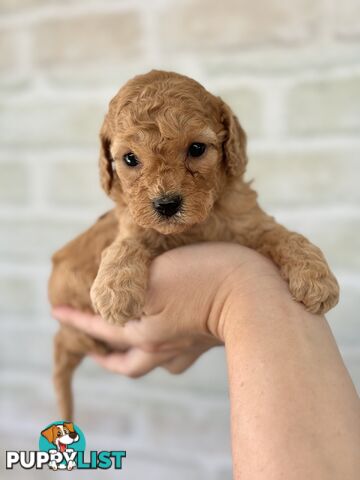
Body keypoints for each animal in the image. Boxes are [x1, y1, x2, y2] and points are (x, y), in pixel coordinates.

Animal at [48, 68, 340, 420]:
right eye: (130, 158)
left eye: (197, 148)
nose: (166, 205)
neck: (195, 226)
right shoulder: (133, 223)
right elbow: (125, 245)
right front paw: (114, 292)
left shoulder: (248, 221)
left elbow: (285, 236)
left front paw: (316, 278)